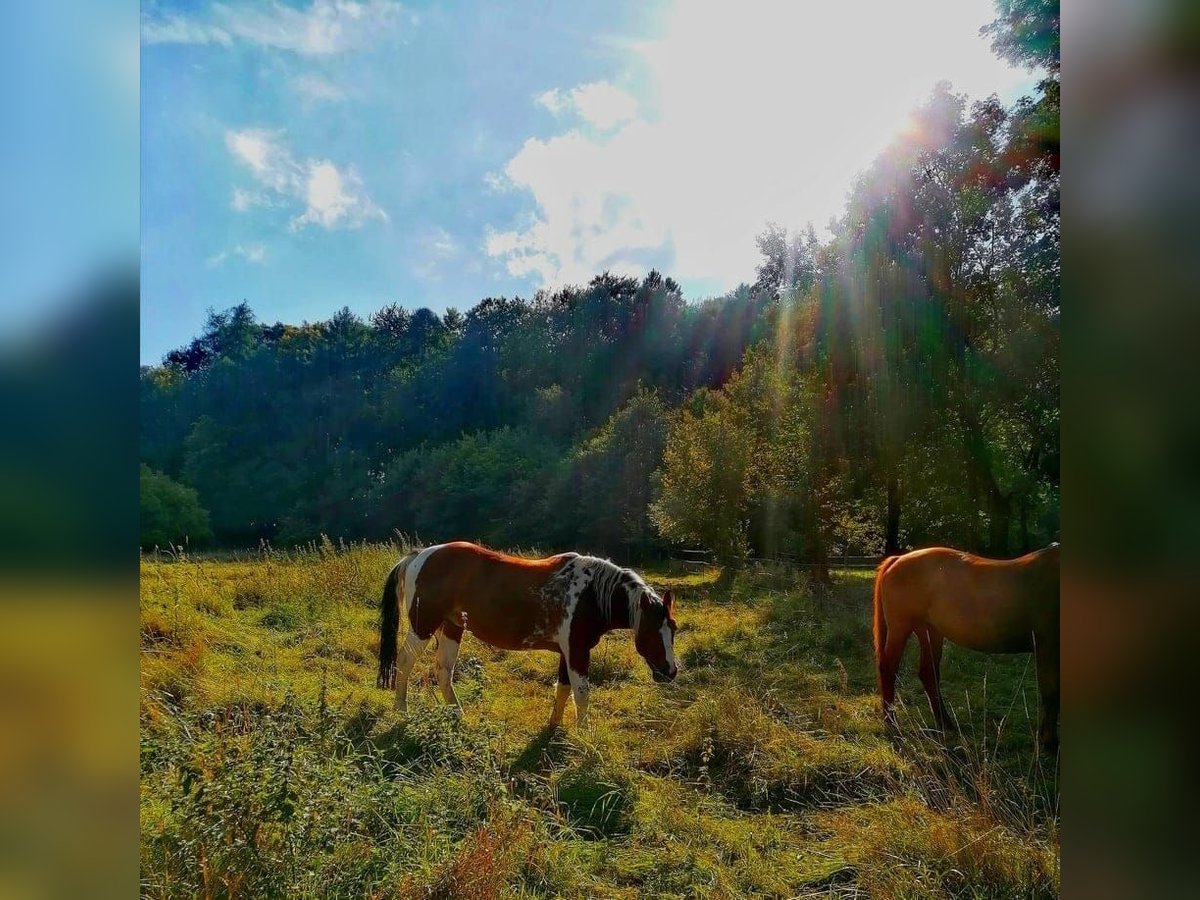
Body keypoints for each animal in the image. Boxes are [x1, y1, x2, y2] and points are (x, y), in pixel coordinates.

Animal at [374, 542, 676, 724]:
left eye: (672, 630)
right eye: (651, 631)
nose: (670, 671)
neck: (590, 594)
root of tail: (418, 556)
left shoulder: (568, 651)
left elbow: (563, 688)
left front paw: (554, 727)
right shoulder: (577, 650)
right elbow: (581, 693)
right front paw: (584, 734)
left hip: (452, 628)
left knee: (443, 671)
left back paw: (457, 713)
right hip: (422, 627)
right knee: (404, 662)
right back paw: (401, 711)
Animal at [873, 542, 1060, 753]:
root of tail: (897, 560)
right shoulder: (1048, 646)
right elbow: (1051, 692)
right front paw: (1050, 743)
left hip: (930, 632)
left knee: (928, 674)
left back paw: (945, 724)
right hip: (900, 628)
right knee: (889, 670)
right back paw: (892, 724)